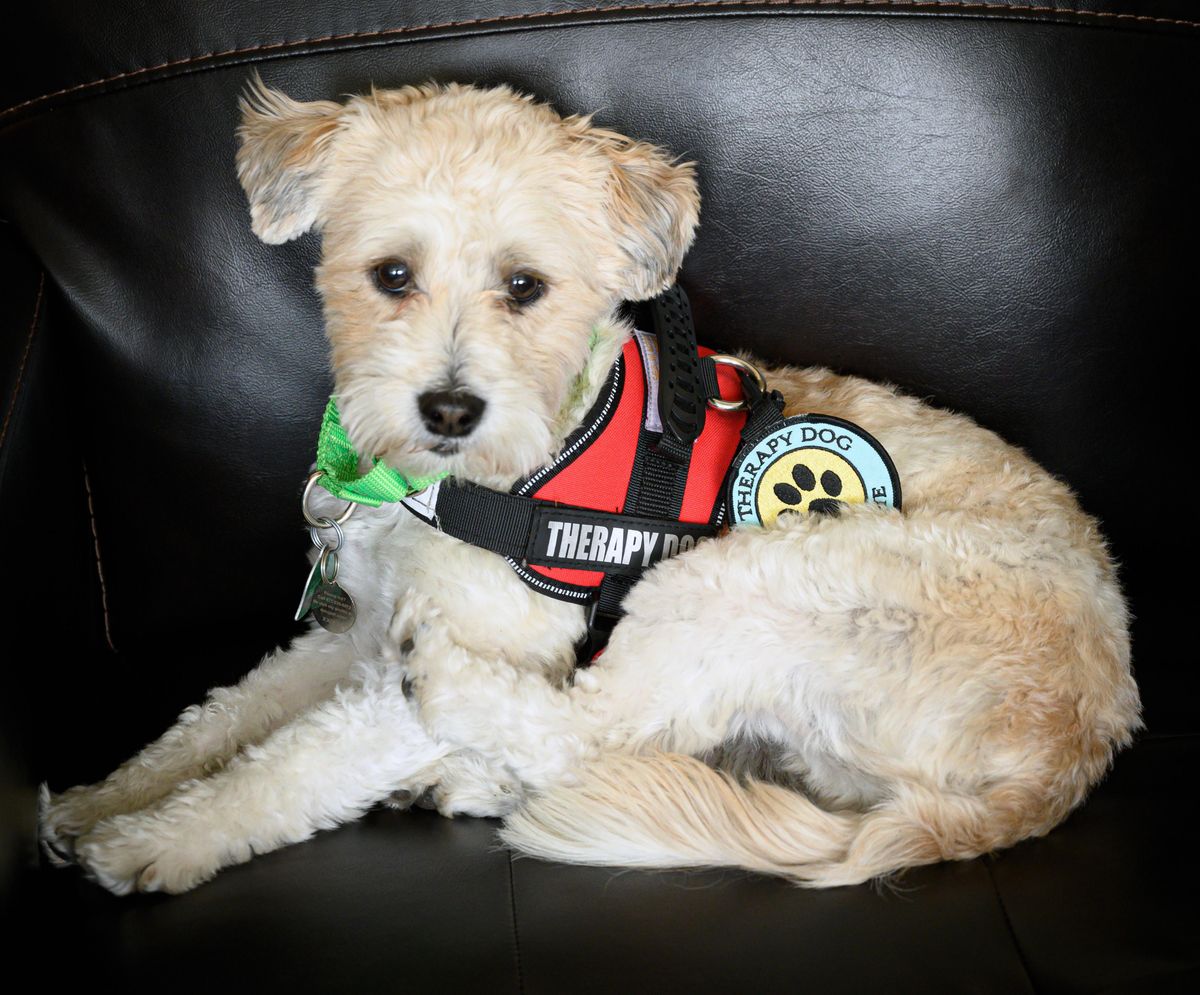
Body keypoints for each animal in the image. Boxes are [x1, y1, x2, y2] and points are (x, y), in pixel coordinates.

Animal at [37, 77, 1142, 892]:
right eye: (390, 275)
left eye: (526, 287)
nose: (448, 408)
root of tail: (1072, 751)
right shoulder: (350, 633)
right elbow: (219, 717)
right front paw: (102, 799)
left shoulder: (435, 652)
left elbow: (290, 766)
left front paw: (151, 842)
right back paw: (460, 778)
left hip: (766, 575)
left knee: (595, 726)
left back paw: (456, 708)